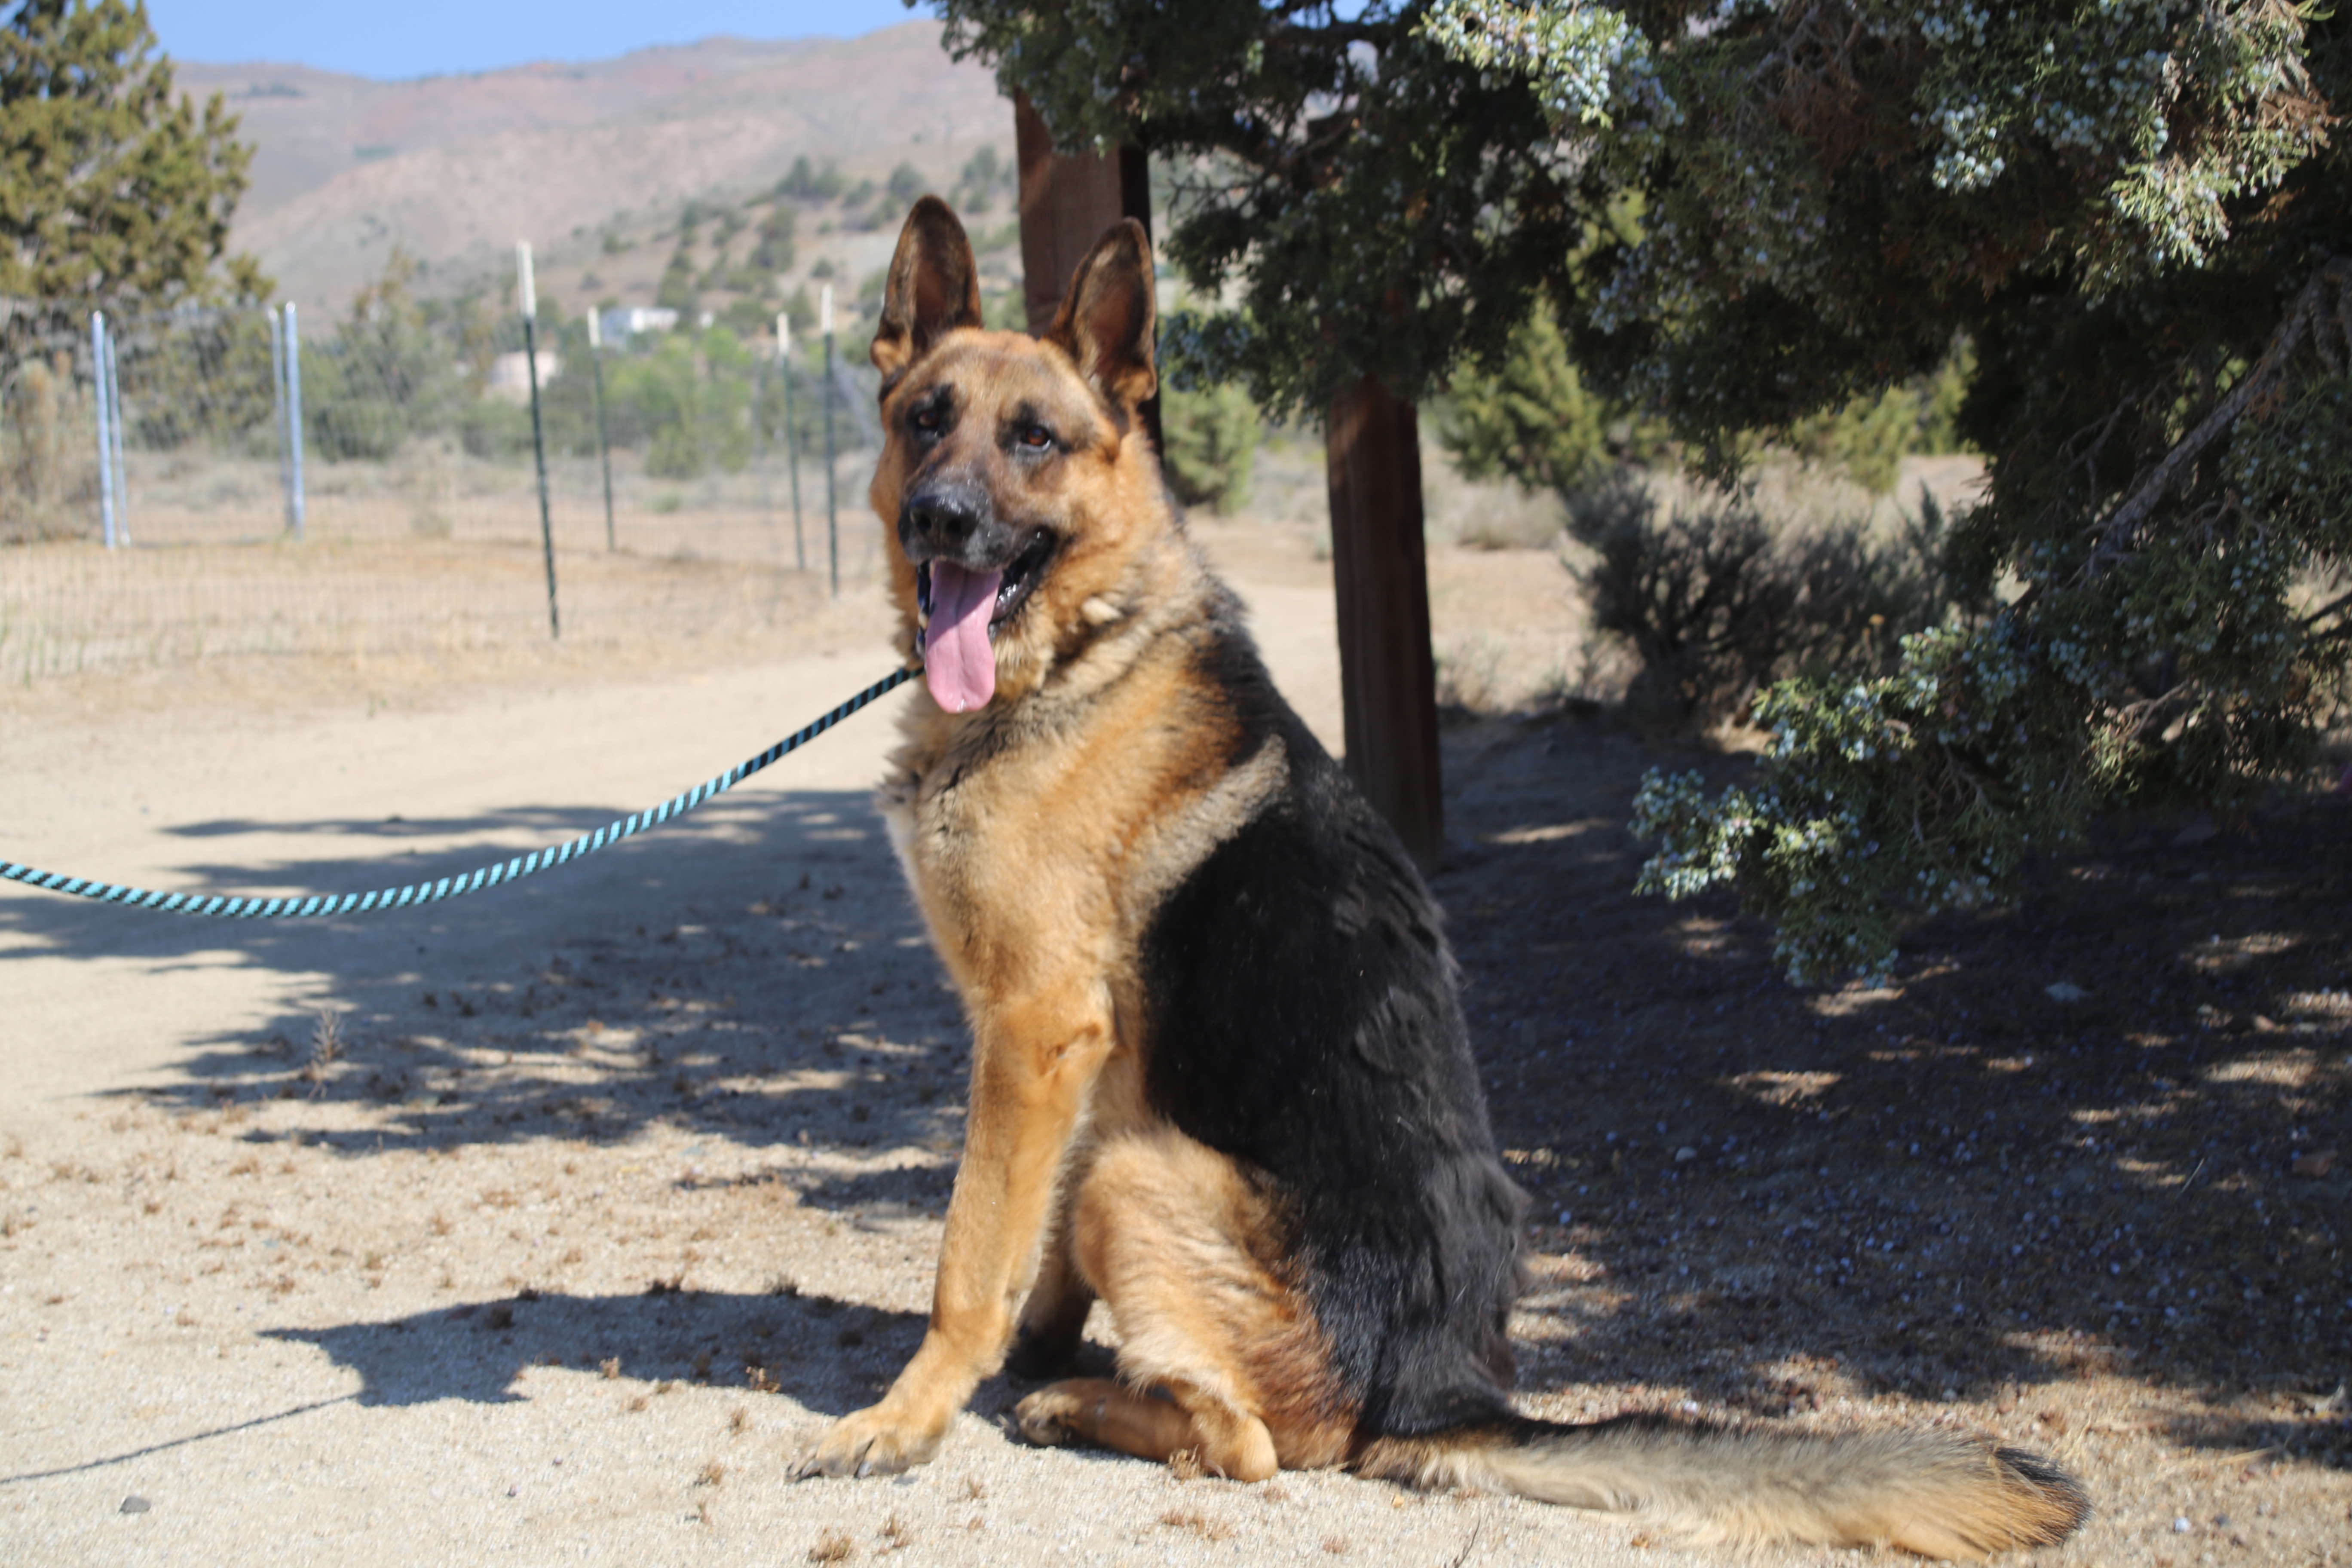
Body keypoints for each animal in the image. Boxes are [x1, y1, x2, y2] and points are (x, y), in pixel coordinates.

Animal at [795, 199, 2098, 1561]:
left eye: (1033, 440)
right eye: (926, 418)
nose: (941, 517)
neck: (1079, 653)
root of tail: (1443, 1390)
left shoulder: (1037, 1031)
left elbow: (968, 1256)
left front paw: (909, 1417)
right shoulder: (1072, 1063)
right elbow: (1027, 1255)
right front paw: (1027, 1349)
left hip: (1137, 1171)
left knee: (1254, 1445)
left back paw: (1086, 1406)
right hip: (1129, 1147)